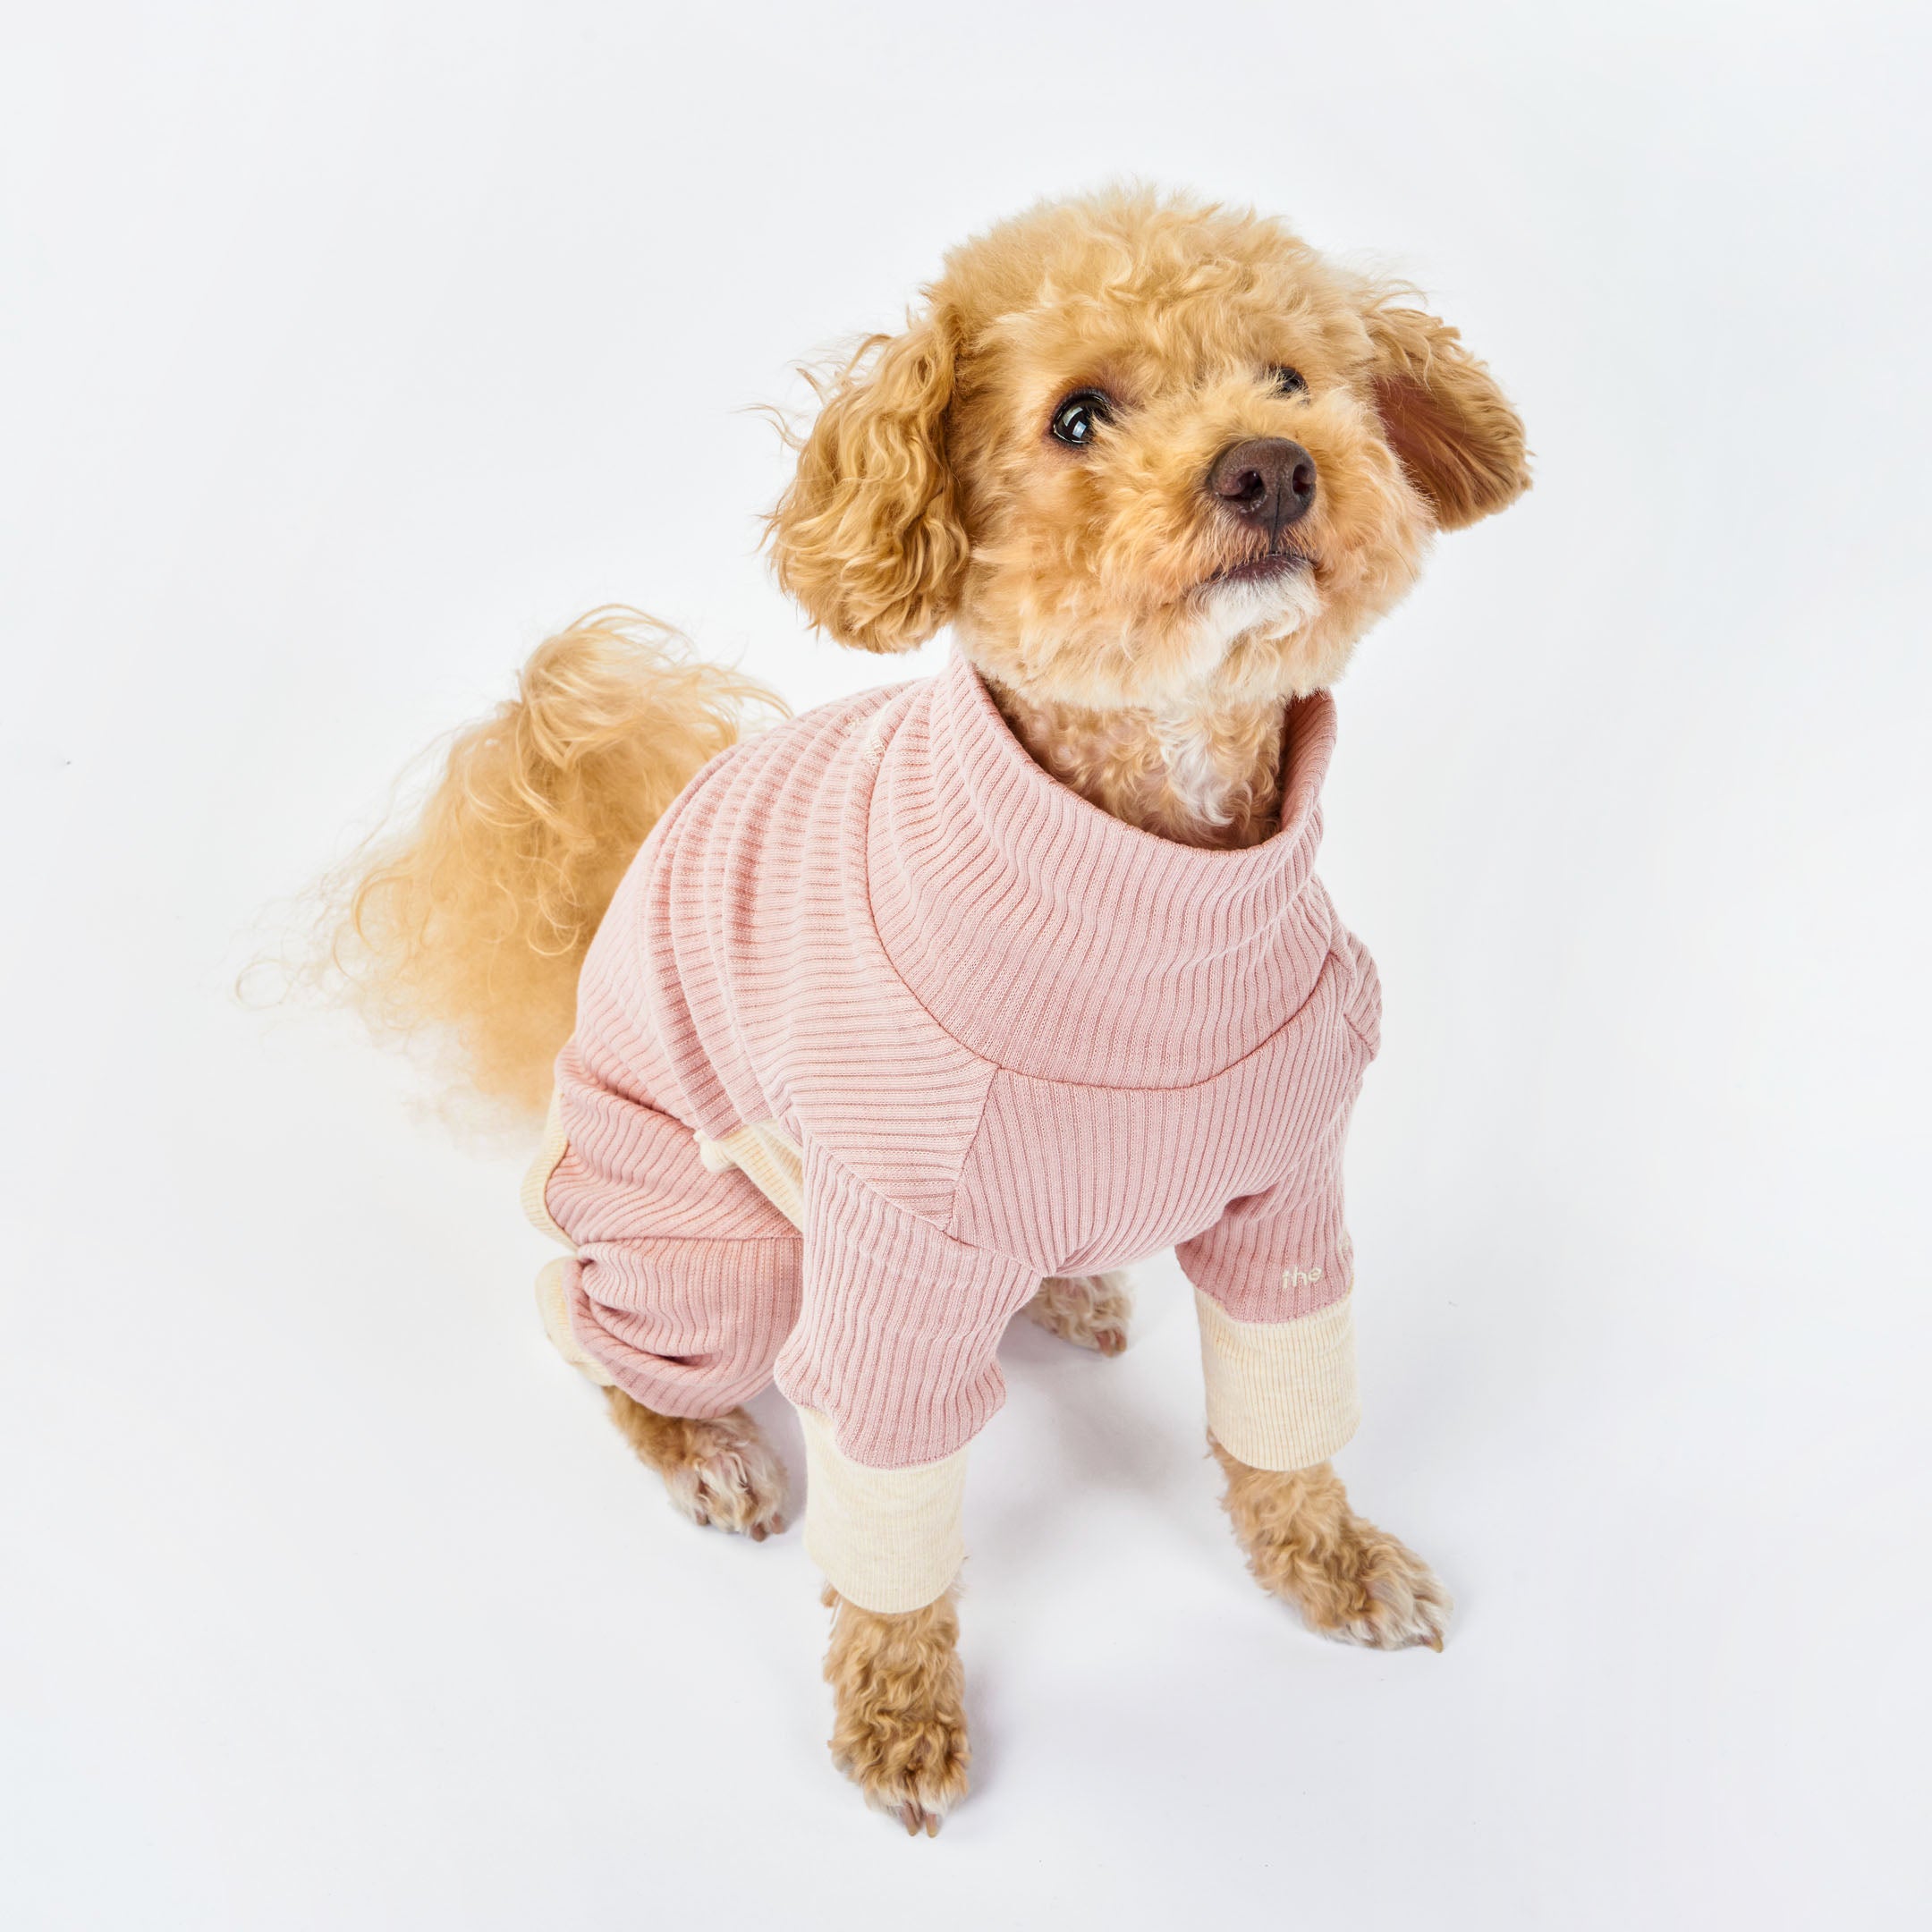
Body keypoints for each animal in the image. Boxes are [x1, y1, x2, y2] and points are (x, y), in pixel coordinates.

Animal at [320, 188, 1522, 1831]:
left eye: (1289, 377)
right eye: (1078, 416)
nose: (1270, 467)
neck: (1153, 884)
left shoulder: (1286, 1201)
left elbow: (1284, 1426)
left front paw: (1331, 1569)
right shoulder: (893, 1254)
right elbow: (891, 1535)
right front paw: (897, 1712)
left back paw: (1066, 1288)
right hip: (712, 1262)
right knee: (584, 1317)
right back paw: (704, 1446)